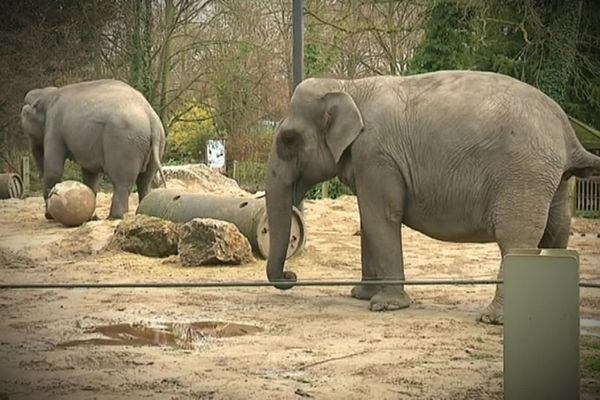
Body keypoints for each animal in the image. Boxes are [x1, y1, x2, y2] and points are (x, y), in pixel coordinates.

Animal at [21, 78, 166, 220]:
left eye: (29, 133)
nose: (47, 214)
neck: (47, 94)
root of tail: (150, 116)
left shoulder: (54, 128)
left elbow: (53, 171)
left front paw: (49, 216)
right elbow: (90, 173)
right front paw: (91, 217)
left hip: (124, 143)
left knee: (122, 182)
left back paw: (114, 217)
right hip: (156, 143)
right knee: (145, 181)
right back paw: (140, 213)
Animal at [264, 70, 600, 324]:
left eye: (288, 140)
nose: (291, 275)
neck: (350, 85)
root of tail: (567, 132)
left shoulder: (375, 154)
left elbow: (380, 216)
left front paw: (384, 305)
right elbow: (367, 218)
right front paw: (361, 295)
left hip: (524, 174)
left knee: (516, 239)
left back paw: (492, 319)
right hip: (554, 180)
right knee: (556, 233)